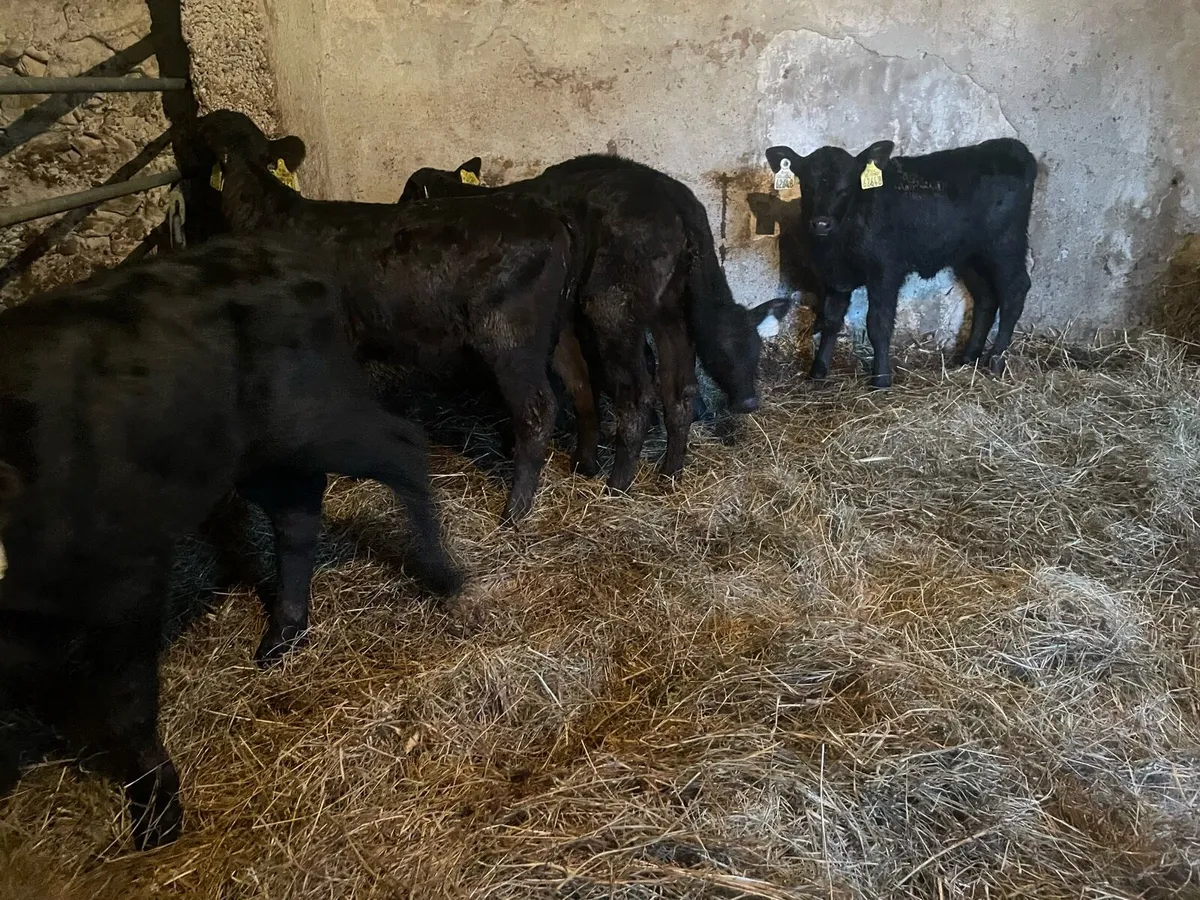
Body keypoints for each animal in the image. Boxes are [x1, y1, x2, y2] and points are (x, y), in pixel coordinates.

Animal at [0, 235, 461, 849]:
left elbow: (127, 701)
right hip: (248, 454)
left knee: (402, 446)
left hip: (312, 420)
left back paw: (444, 575)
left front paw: (158, 813)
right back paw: (284, 632)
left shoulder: (128, 570)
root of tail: (285, 259)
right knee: (298, 511)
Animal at [189, 110, 588, 523]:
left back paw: (516, 508)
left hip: (510, 336)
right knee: (580, 383)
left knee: (537, 412)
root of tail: (551, 215)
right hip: (560, 325)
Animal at [400, 154, 790, 491]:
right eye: (729, 355)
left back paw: (618, 483)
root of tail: (675, 199)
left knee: (636, 395)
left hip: (611, 308)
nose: (749, 403)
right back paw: (669, 474)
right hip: (669, 309)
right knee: (678, 389)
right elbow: (581, 385)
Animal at [765, 138, 1037, 388]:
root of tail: (1010, 147)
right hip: (969, 255)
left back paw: (996, 360)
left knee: (1015, 290)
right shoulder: (834, 276)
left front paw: (881, 378)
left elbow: (878, 324)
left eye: (845, 188)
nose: (821, 223)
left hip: (1005, 244)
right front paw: (818, 371)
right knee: (986, 297)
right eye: (807, 185)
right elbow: (830, 321)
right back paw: (968, 358)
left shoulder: (885, 272)